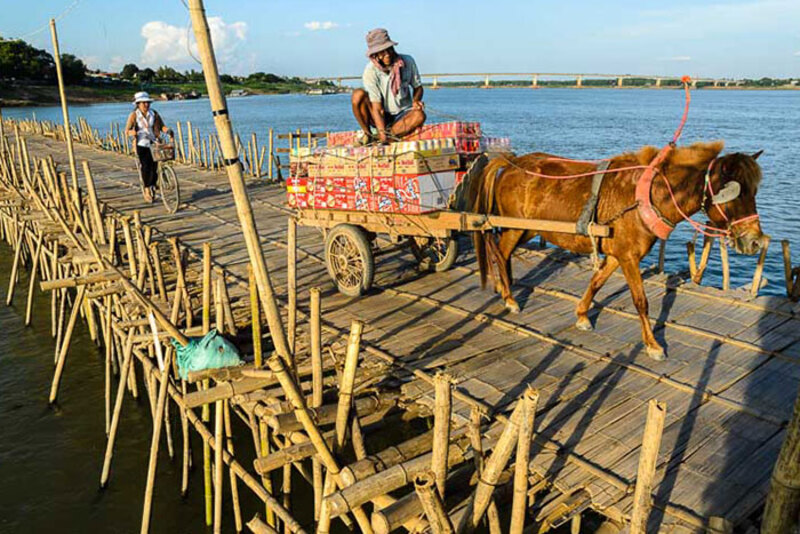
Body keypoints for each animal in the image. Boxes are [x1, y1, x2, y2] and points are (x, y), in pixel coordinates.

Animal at [468, 141, 768, 360]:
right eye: (735, 193)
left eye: (755, 191)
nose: (754, 240)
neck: (646, 196)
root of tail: (512, 163)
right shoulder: (629, 257)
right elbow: (641, 301)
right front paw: (653, 344)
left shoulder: (617, 254)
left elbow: (597, 281)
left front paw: (582, 315)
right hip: (516, 226)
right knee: (499, 250)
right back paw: (508, 297)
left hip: (528, 228)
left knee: (502, 251)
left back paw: (503, 286)